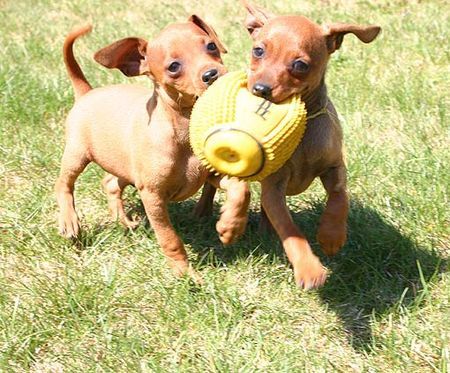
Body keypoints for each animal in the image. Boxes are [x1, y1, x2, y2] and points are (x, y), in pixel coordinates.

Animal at [55, 17, 250, 280]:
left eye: (211, 46)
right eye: (174, 66)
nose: (212, 74)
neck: (184, 127)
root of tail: (87, 92)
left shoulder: (210, 175)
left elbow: (241, 188)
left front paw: (231, 226)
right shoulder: (152, 195)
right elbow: (170, 238)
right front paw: (184, 273)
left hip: (125, 166)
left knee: (110, 183)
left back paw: (123, 222)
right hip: (77, 154)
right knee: (64, 184)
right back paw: (69, 221)